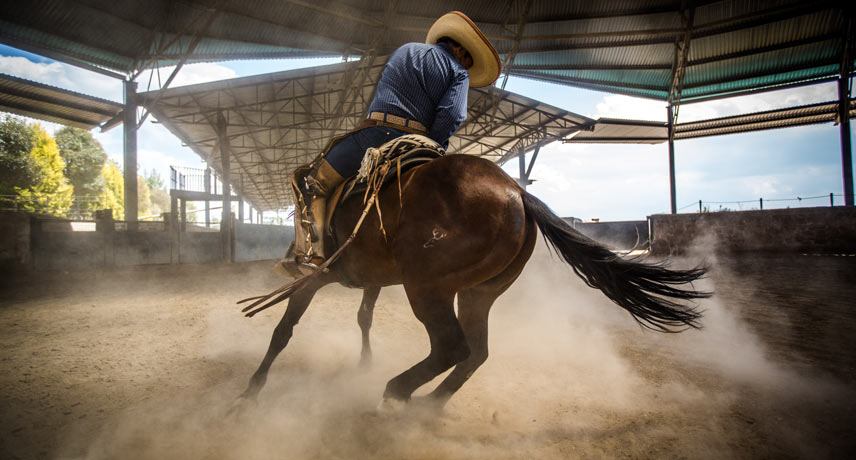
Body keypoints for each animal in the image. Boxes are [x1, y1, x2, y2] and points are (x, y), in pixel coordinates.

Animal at [236, 155, 708, 410]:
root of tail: (517, 193)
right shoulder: (371, 280)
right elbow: (364, 317)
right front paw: (364, 361)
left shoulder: (315, 276)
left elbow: (283, 329)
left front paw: (252, 389)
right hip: (478, 293)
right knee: (476, 352)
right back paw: (427, 403)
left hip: (428, 289)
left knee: (452, 347)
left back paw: (395, 393)